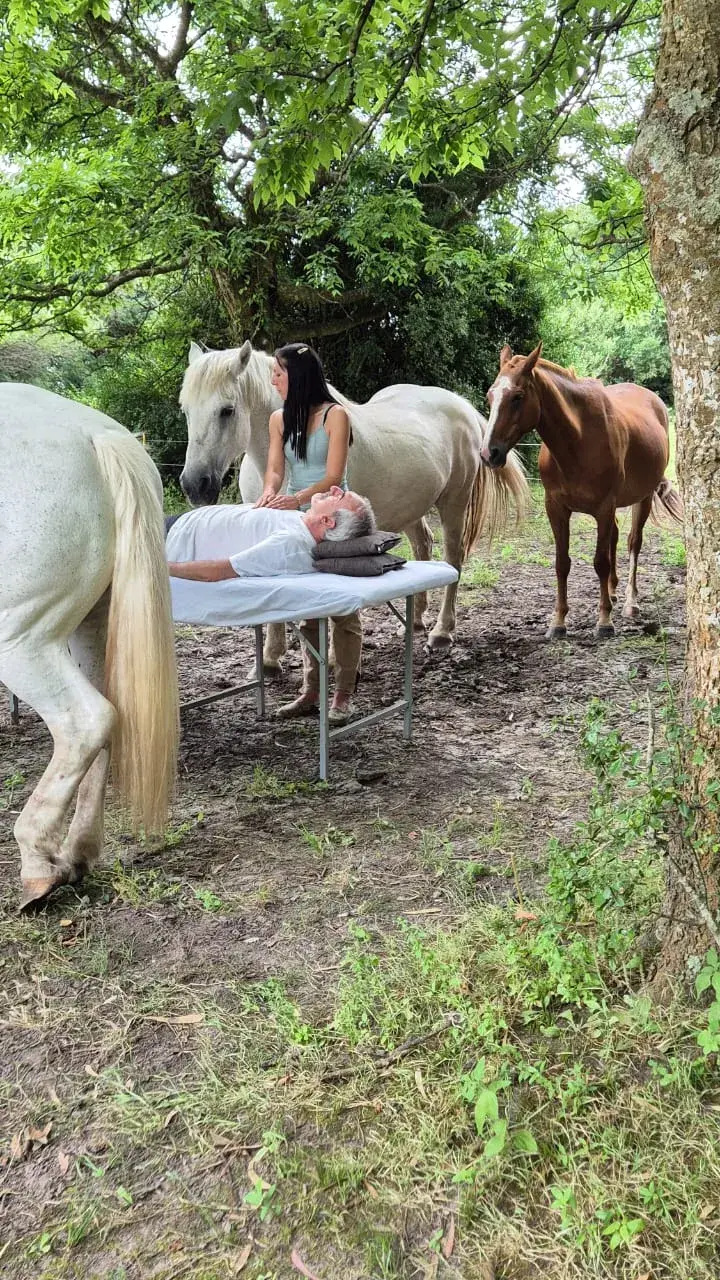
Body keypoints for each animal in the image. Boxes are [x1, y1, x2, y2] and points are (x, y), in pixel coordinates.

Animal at [0, 383, 179, 911]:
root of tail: (94, 434)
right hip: (88, 627)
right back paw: (77, 853)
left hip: (22, 641)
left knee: (86, 721)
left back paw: (39, 866)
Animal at [178, 341, 529, 666]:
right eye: (185, 410)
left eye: (227, 410)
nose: (195, 485)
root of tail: (461, 406)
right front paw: (269, 659)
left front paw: (332, 658)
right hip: (412, 507)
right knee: (423, 545)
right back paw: (415, 620)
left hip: (454, 503)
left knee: (453, 559)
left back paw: (441, 633)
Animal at [481, 343, 683, 639]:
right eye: (490, 396)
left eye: (517, 397)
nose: (488, 453)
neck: (578, 440)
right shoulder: (556, 508)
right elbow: (562, 563)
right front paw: (558, 622)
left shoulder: (603, 506)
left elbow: (600, 562)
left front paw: (604, 621)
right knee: (615, 538)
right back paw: (612, 591)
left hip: (642, 499)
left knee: (633, 542)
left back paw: (629, 602)